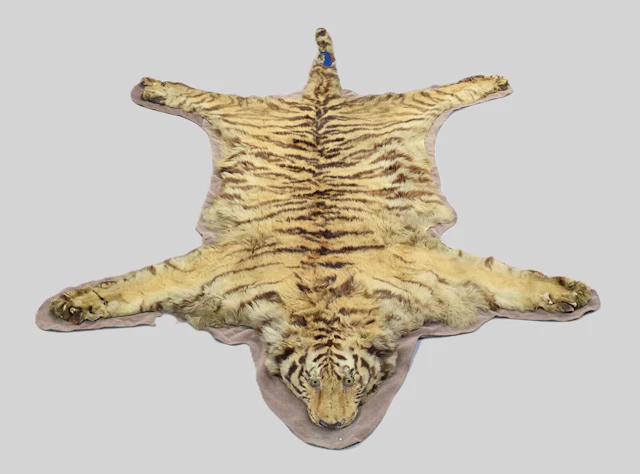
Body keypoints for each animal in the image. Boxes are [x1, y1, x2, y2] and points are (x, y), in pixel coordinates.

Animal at [49, 28, 592, 429]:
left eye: (351, 381)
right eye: (308, 382)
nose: (332, 428)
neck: (327, 298)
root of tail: (320, 93)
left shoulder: (437, 268)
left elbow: (503, 277)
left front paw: (572, 294)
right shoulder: (207, 272)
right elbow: (137, 283)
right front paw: (74, 303)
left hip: (399, 105)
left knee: (443, 89)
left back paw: (491, 78)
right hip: (245, 109)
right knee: (205, 96)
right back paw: (157, 87)